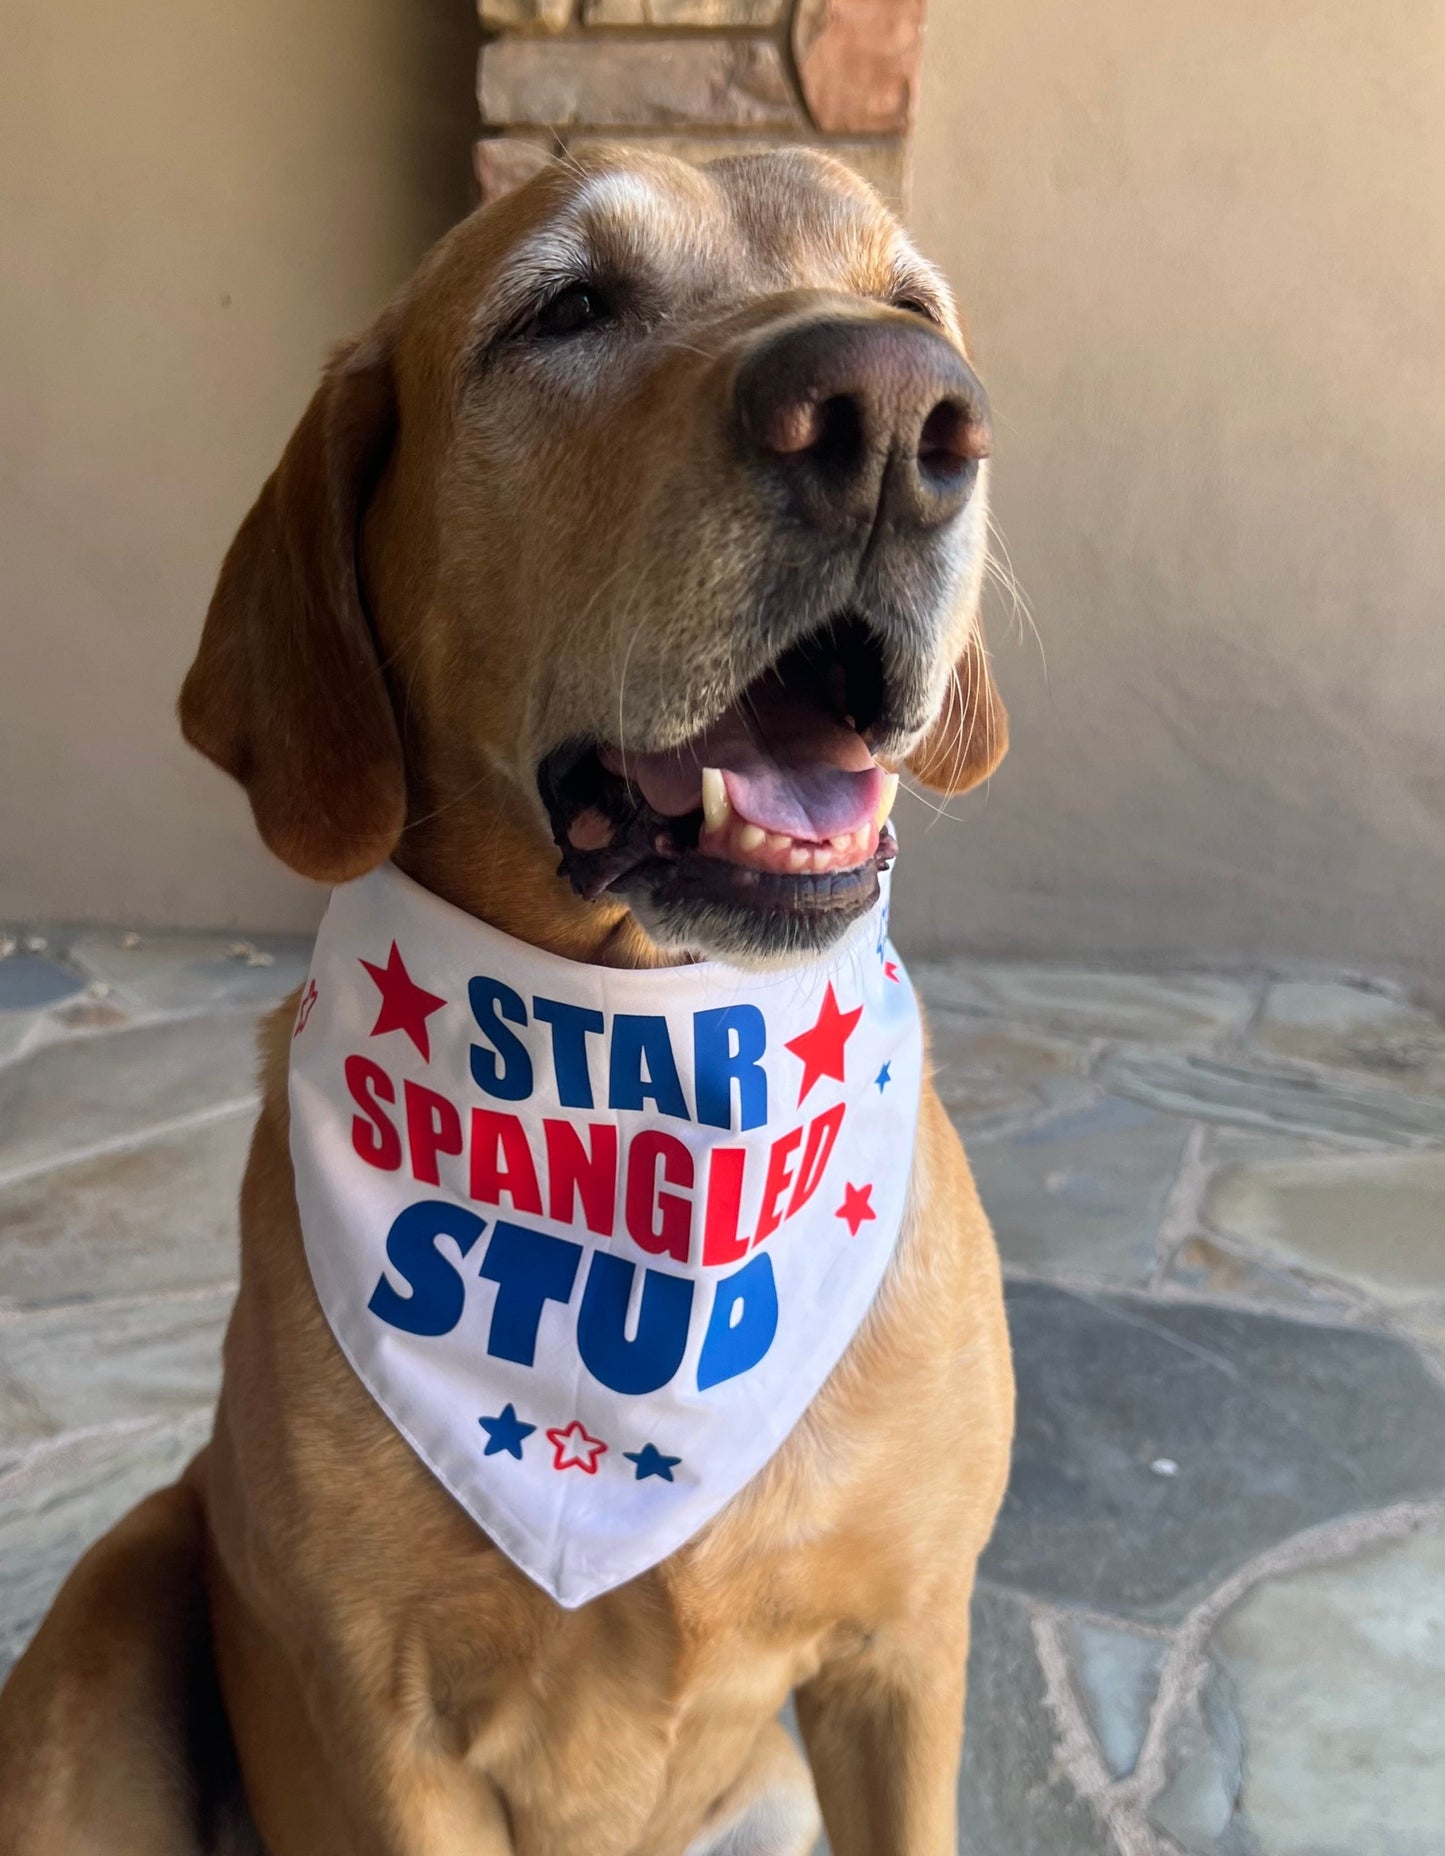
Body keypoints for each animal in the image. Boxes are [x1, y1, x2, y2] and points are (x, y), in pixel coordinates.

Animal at [0, 148, 1009, 1856]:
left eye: (914, 307)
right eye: (566, 308)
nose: (892, 410)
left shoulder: (905, 1655)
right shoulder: (390, 1731)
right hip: (110, 1618)